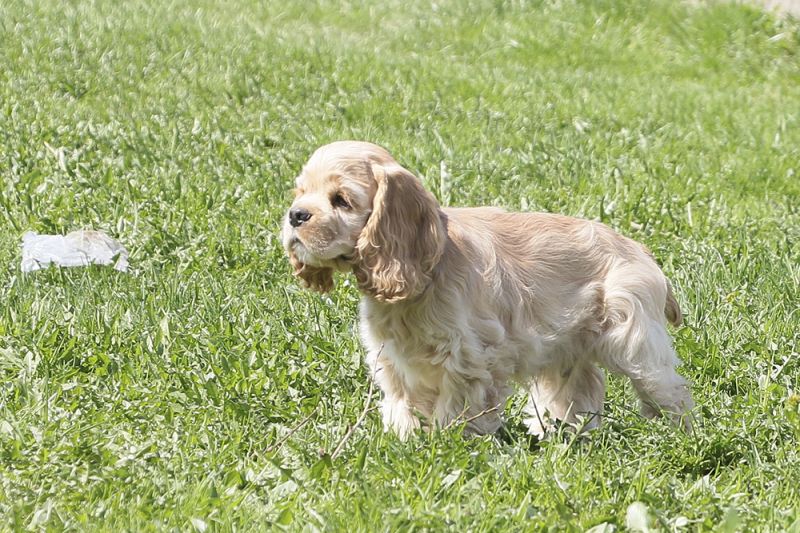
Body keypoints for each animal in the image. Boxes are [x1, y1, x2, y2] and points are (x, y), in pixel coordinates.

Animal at [282, 140, 692, 436]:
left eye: (342, 200)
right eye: (300, 192)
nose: (295, 215)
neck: (427, 271)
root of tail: (642, 252)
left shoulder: (469, 359)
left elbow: (455, 409)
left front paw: (446, 444)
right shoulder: (395, 363)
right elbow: (402, 406)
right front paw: (403, 441)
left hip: (634, 342)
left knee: (671, 389)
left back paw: (677, 436)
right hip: (565, 351)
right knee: (580, 391)